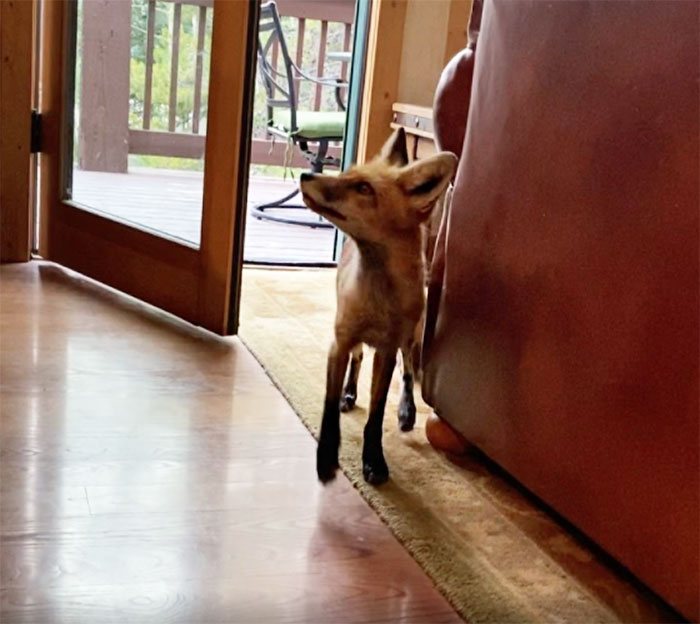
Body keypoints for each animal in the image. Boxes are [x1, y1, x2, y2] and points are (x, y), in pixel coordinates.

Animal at [300, 128, 458, 485]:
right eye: (347, 174)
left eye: (363, 188)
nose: (305, 175)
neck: (378, 300)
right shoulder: (340, 341)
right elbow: (328, 407)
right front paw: (326, 456)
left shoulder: (387, 349)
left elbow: (377, 413)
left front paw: (373, 460)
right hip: (354, 339)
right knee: (358, 360)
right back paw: (349, 393)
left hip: (412, 338)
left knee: (409, 372)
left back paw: (407, 411)